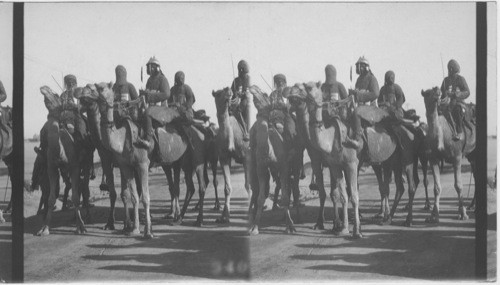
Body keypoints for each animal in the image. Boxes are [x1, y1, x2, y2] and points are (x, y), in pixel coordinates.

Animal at [36, 86, 94, 235]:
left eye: (55, 94)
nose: (44, 88)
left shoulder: (74, 166)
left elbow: (75, 196)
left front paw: (81, 227)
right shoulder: (52, 167)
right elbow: (51, 198)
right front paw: (44, 228)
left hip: (87, 161)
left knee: (84, 186)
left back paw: (87, 216)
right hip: (65, 169)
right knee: (74, 185)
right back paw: (74, 216)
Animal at [212, 86, 252, 222]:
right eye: (218, 93)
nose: (228, 89)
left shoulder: (246, 158)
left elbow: (248, 185)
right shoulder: (224, 158)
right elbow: (227, 188)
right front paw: (224, 216)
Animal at [420, 86, 474, 222]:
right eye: (427, 92)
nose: (437, 90)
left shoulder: (457, 157)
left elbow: (458, 185)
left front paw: (463, 214)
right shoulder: (433, 159)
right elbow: (436, 188)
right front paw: (433, 215)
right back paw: (471, 205)